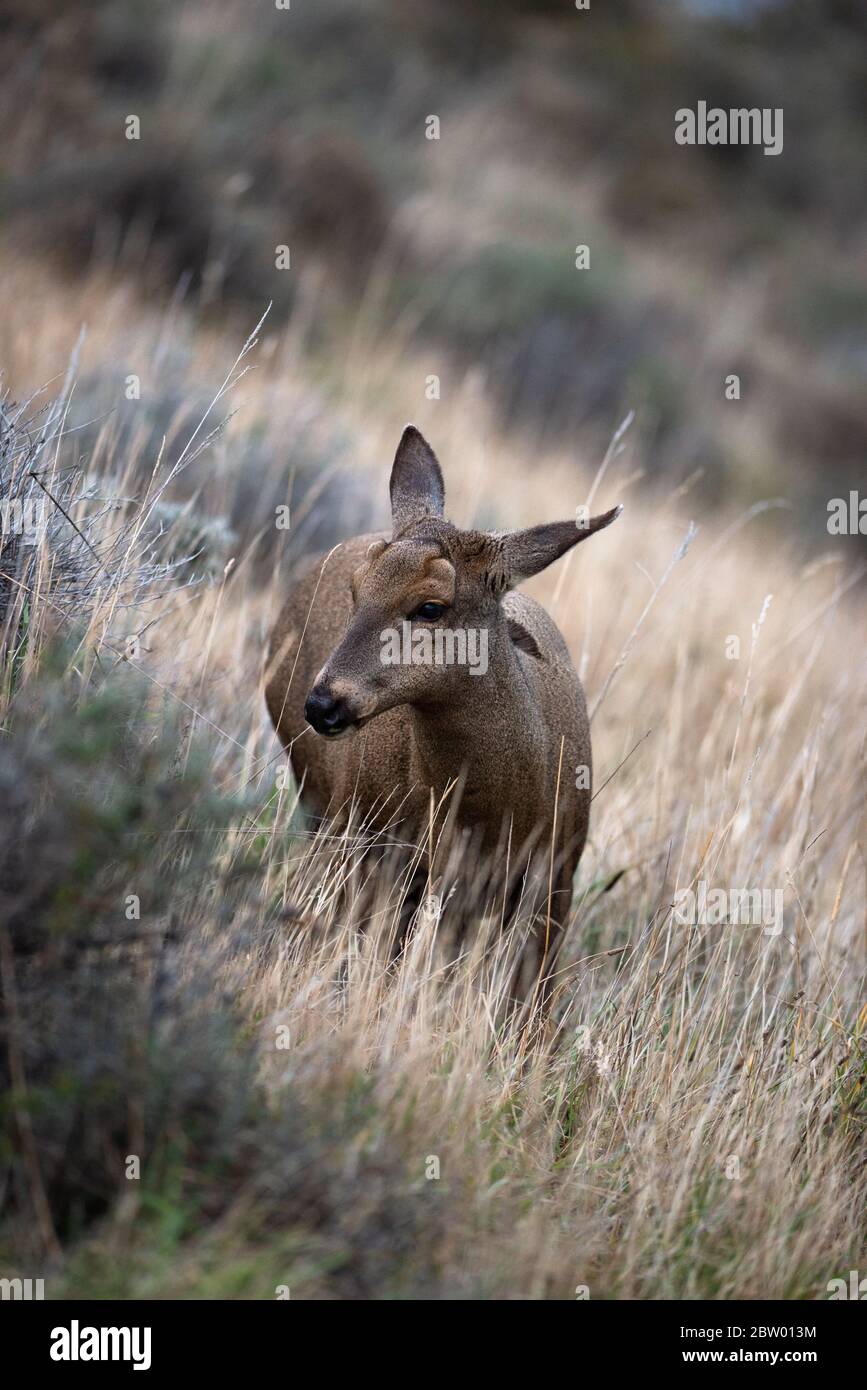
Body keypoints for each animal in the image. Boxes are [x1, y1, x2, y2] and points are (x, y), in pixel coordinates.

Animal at [268, 425, 619, 1000]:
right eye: (357, 589)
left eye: (430, 606)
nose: (322, 704)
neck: (493, 811)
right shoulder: (386, 850)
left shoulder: (556, 878)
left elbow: (531, 1000)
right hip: (331, 814)